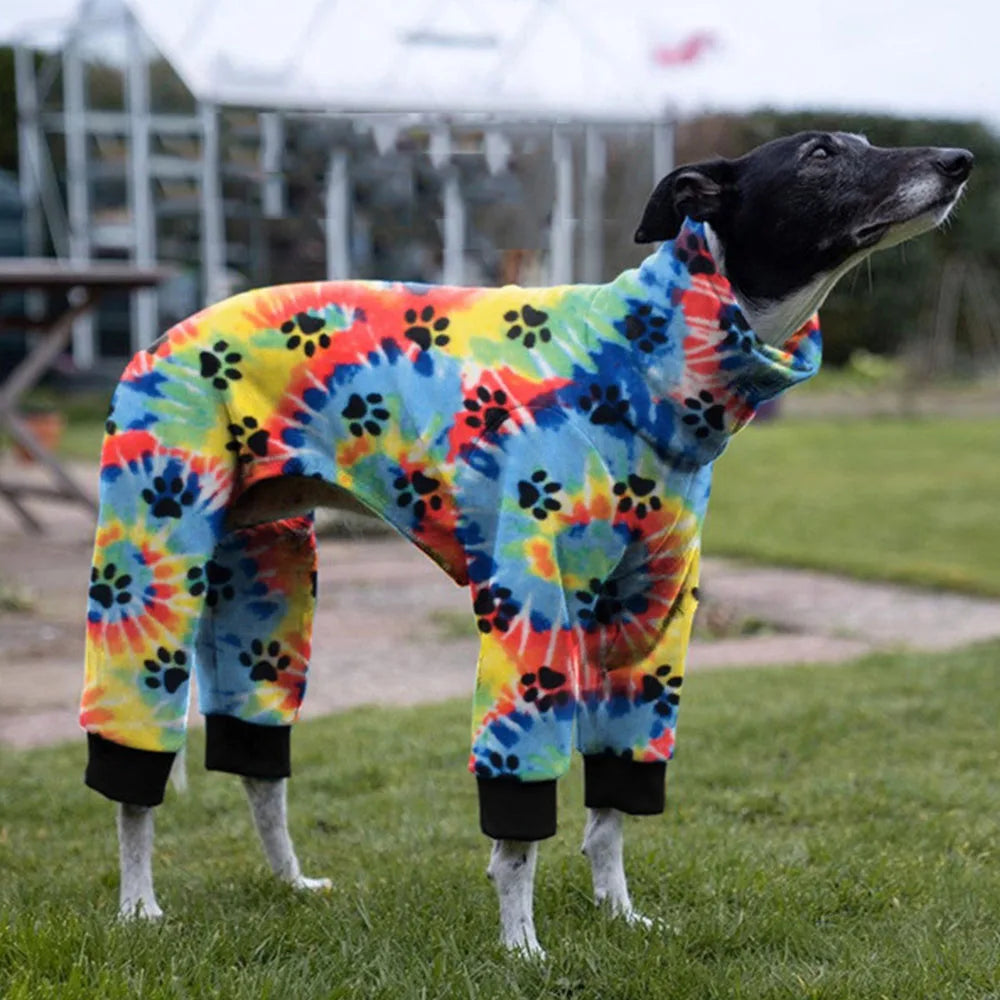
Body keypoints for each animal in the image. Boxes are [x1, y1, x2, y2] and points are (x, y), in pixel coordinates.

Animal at [82, 133, 972, 952]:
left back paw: (290, 883)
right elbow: (518, 834)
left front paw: (620, 914)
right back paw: (137, 905)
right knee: (134, 773)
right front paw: (521, 946)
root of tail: (165, 335)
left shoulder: (650, 626)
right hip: (152, 566)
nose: (960, 160)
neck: (642, 367)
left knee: (259, 765)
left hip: (264, 585)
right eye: (821, 154)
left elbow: (610, 810)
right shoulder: (529, 613)